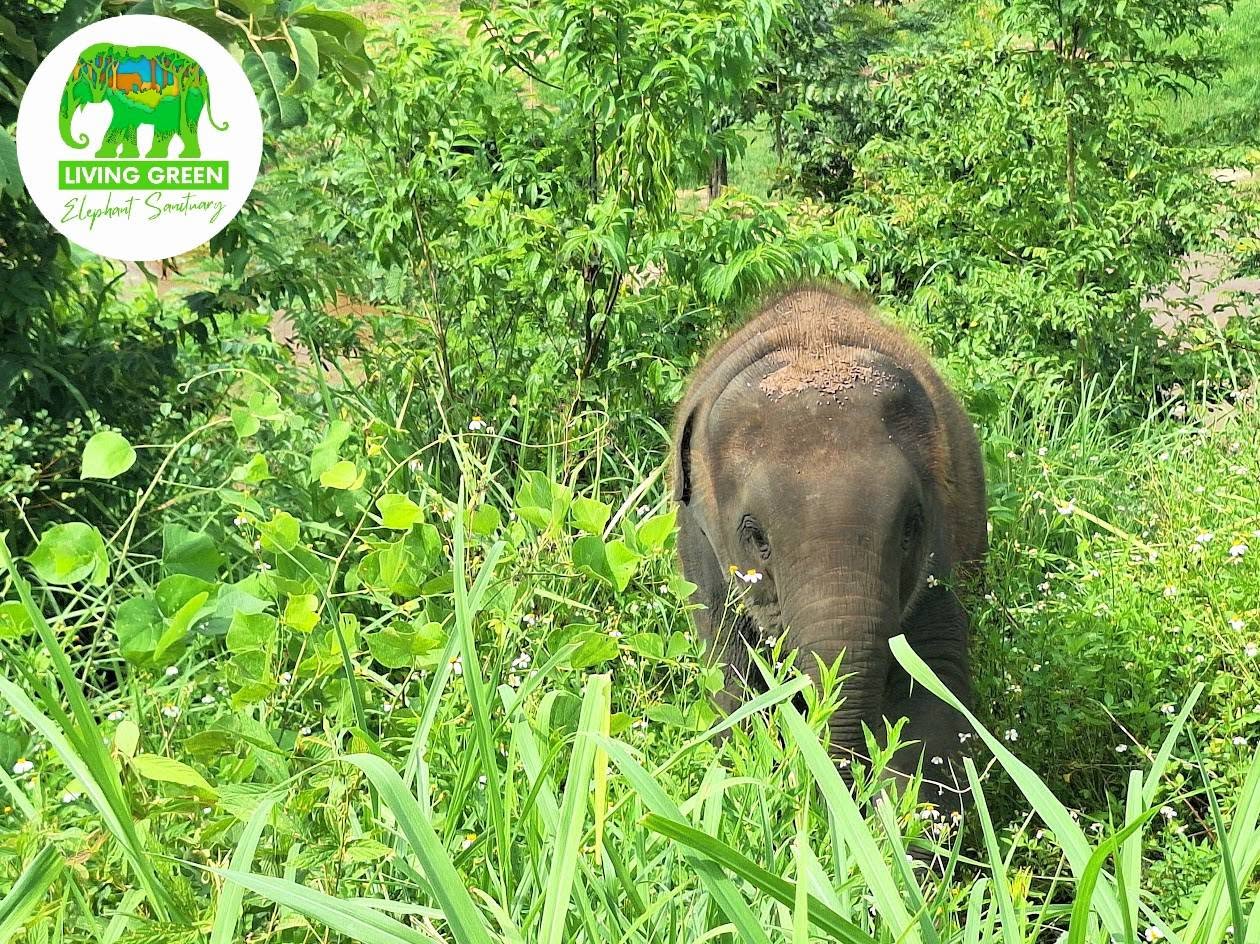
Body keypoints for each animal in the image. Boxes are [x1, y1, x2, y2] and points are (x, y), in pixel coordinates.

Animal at [59, 43, 227, 159]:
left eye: (79, 79)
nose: (83, 138)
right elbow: (129, 126)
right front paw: (127, 156)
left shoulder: (124, 98)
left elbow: (119, 123)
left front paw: (103, 155)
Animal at [671, 284, 987, 807]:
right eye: (756, 537)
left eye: (911, 527)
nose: (846, 785)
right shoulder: (700, 548)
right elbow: (733, 680)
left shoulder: (942, 542)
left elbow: (933, 676)